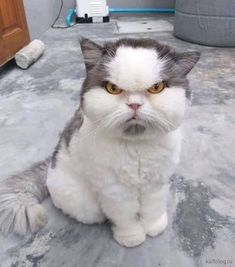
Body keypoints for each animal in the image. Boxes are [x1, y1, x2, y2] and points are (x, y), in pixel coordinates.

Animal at [0, 38, 200, 249]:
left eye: (156, 88)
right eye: (113, 89)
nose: (135, 104)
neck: (136, 147)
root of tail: (50, 166)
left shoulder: (156, 182)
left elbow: (152, 208)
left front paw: (154, 227)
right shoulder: (115, 191)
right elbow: (127, 217)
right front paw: (132, 237)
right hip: (87, 207)